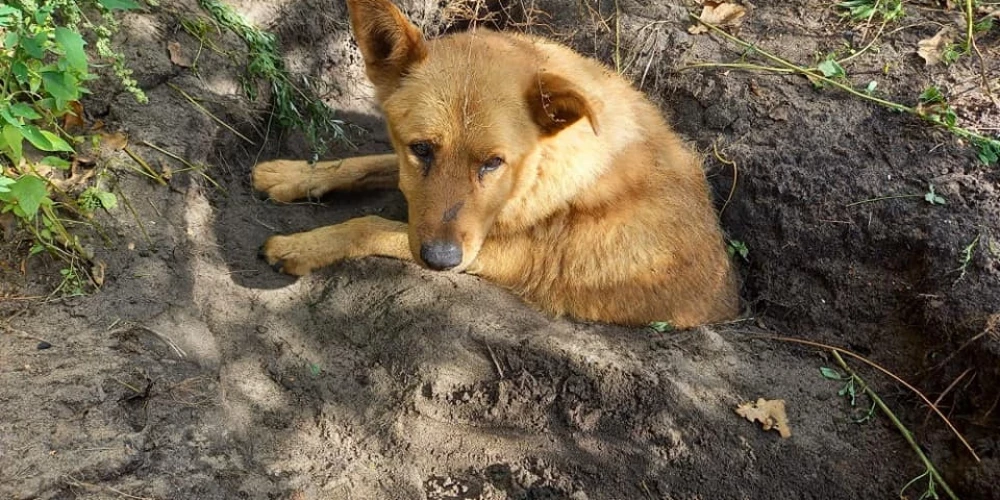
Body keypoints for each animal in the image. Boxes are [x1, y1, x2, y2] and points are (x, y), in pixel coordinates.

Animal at [252, 0, 736, 328]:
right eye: (421, 148)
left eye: (494, 162)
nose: (440, 259)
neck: (538, 169)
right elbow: (370, 163)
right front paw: (294, 173)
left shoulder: (494, 253)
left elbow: (368, 225)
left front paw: (303, 246)